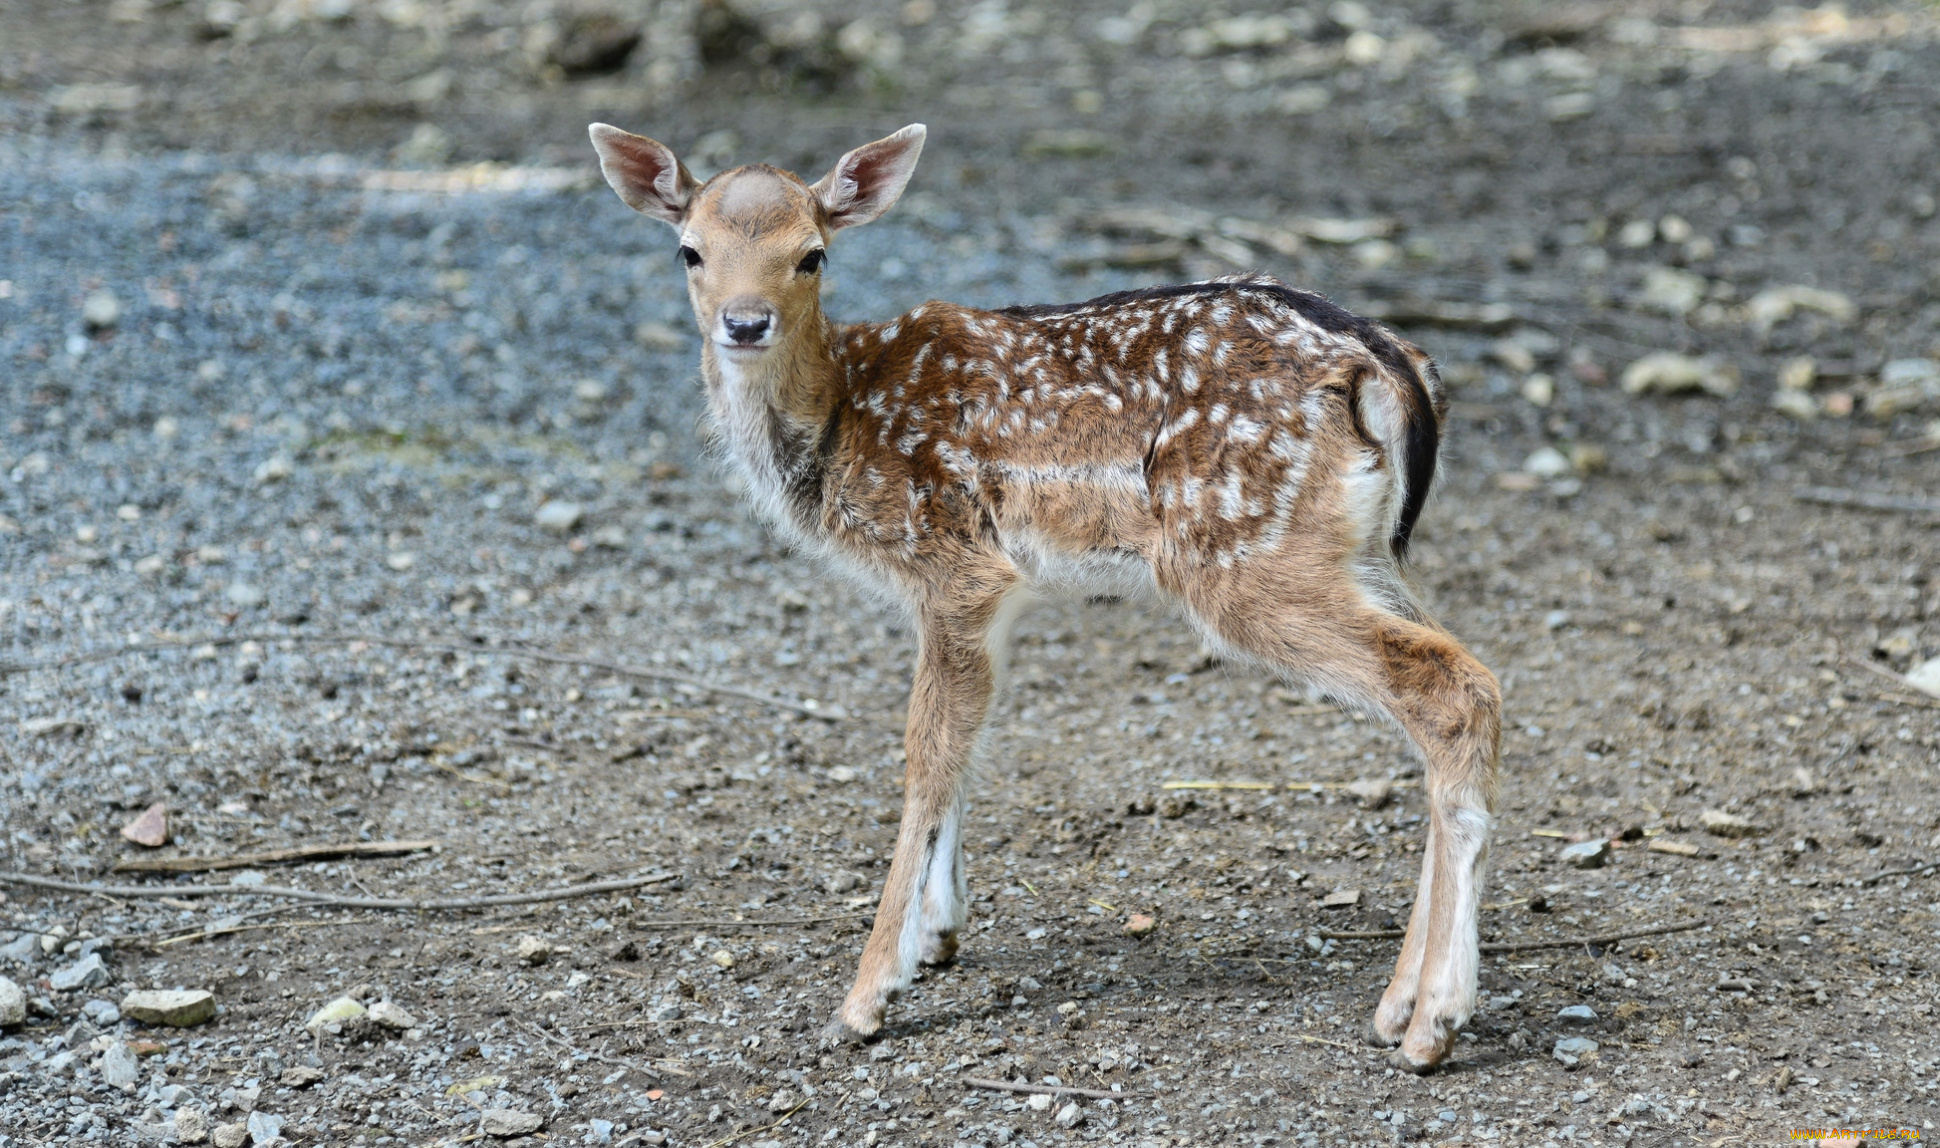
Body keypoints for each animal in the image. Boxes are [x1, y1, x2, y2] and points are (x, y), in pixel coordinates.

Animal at [582, 121, 1505, 1070]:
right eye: (689, 249)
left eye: (812, 255)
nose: (744, 322)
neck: (837, 425)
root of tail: (1390, 370)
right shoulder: (990, 596)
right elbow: (967, 744)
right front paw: (936, 935)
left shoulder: (951, 564)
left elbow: (926, 753)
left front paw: (867, 994)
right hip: (1360, 553)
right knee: (1450, 687)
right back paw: (1402, 1004)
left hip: (1243, 552)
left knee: (1457, 687)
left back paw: (1432, 1022)